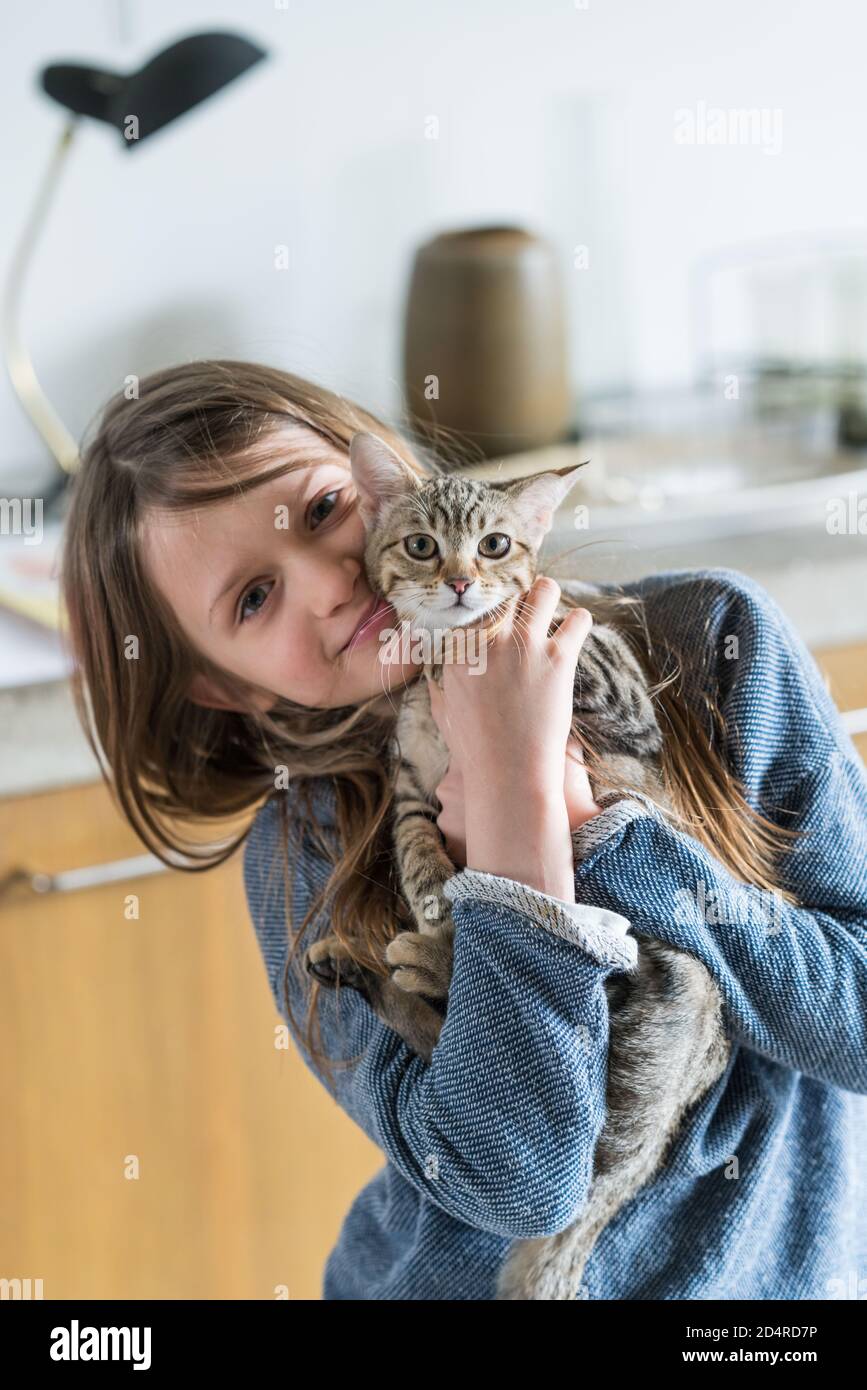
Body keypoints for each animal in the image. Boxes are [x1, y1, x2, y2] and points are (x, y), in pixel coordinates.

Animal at [307, 428, 733, 1295]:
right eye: (421, 545)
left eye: (495, 545)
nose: (461, 581)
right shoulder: (412, 786)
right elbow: (413, 845)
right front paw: (434, 892)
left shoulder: (623, 701)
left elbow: (563, 632)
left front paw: (508, 615)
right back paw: (376, 961)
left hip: (670, 985)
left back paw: (423, 959)